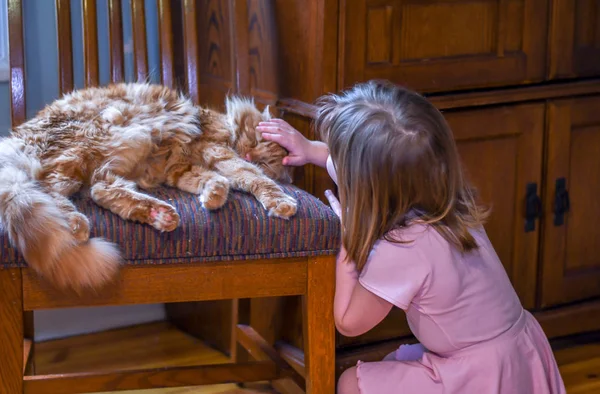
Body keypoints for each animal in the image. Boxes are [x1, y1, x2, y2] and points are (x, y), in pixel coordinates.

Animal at [0, 82, 298, 292]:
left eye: (266, 160)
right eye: (256, 140)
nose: (250, 154)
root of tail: (17, 139)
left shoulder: (179, 169)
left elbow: (216, 181)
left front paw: (213, 197)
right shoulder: (217, 151)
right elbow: (252, 177)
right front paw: (280, 201)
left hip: (103, 163)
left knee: (100, 191)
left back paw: (160, 215)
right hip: (95, 143)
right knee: (52, 188)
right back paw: (76, 225)